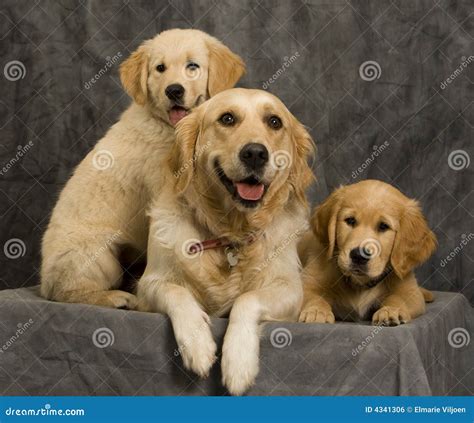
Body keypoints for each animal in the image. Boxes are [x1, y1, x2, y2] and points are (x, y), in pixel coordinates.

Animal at [40, 29, 244, 308]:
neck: (170, 127)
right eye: (160, 68)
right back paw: (115, 297)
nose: (174, 90)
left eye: (192, 66)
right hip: (98, 254)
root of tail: (43, 281)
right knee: (67, 292)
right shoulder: (165, 195)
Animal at [300, 181, 436, 326]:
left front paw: (391, 310)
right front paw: (316, 311)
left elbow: (398, 298)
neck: (360, 283)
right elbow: (313, 296)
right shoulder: (307, 281)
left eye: (383, 226)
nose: (359, 256)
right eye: (350, 220)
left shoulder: (410, 291)